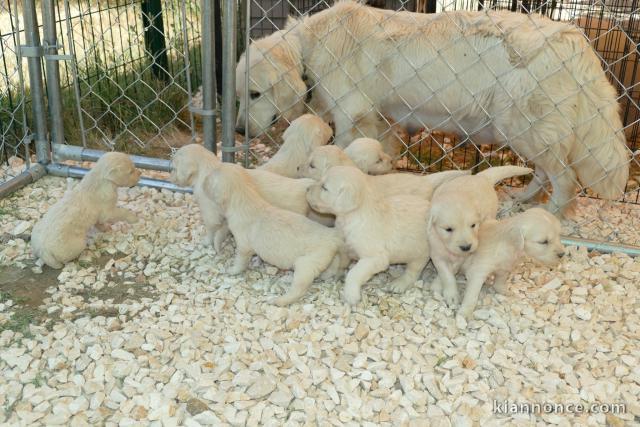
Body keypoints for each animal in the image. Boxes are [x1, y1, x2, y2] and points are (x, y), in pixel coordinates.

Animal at [205, 162, 348, 306]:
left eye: (212, 176)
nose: (204, 181)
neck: (245, 199)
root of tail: (333, 236)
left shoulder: (243, 246)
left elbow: (240, 261)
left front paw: (232, 270)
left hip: (306, 264)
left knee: (299, 289)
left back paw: (279, 300)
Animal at [304, 166, 430, 306]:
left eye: (324, 187)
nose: (306, 189)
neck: (351, 217)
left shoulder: (375, 258)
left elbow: (353, 273)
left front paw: (351, 295)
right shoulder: (343, 245)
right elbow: (336, 260)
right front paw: (328, 273)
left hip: (420, 253)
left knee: (413, 271)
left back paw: (399, 284)